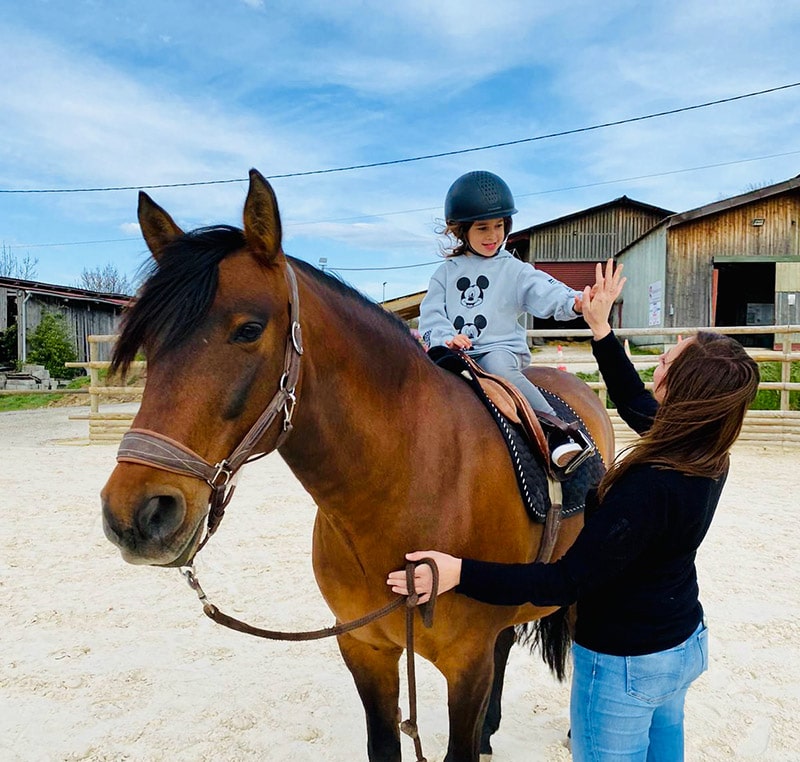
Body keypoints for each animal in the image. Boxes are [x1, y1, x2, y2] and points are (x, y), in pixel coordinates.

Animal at [100, 171, 612, 760]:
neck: (407, 487)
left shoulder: (467, 665)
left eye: (249, 329)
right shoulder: (364, 648)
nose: (135, 514)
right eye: (148, 340)